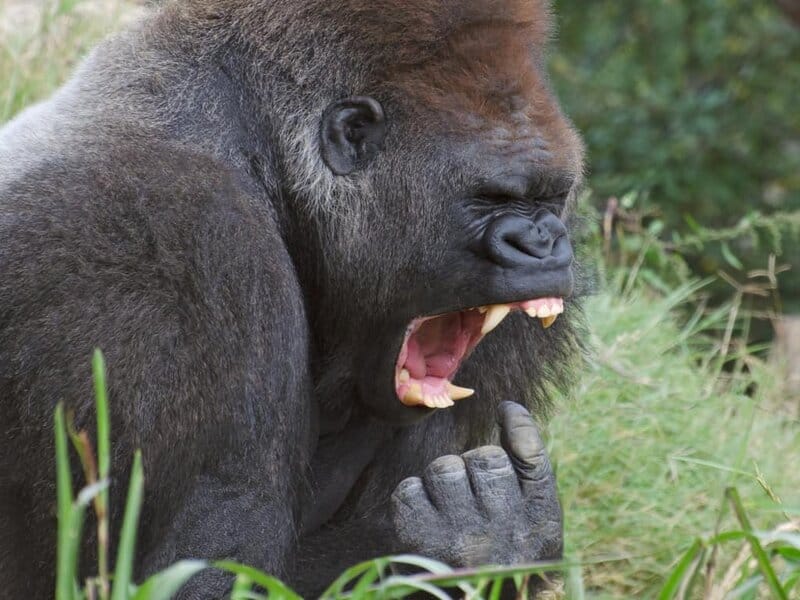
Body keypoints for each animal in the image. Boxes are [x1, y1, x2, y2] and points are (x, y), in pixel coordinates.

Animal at [0, 0, 585, 597]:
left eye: (550, 197)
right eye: (490, 197)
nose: (543, 243)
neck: (259, 151)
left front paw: (497, 544)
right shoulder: (182, 241)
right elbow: (200, 568)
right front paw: (475, 544)